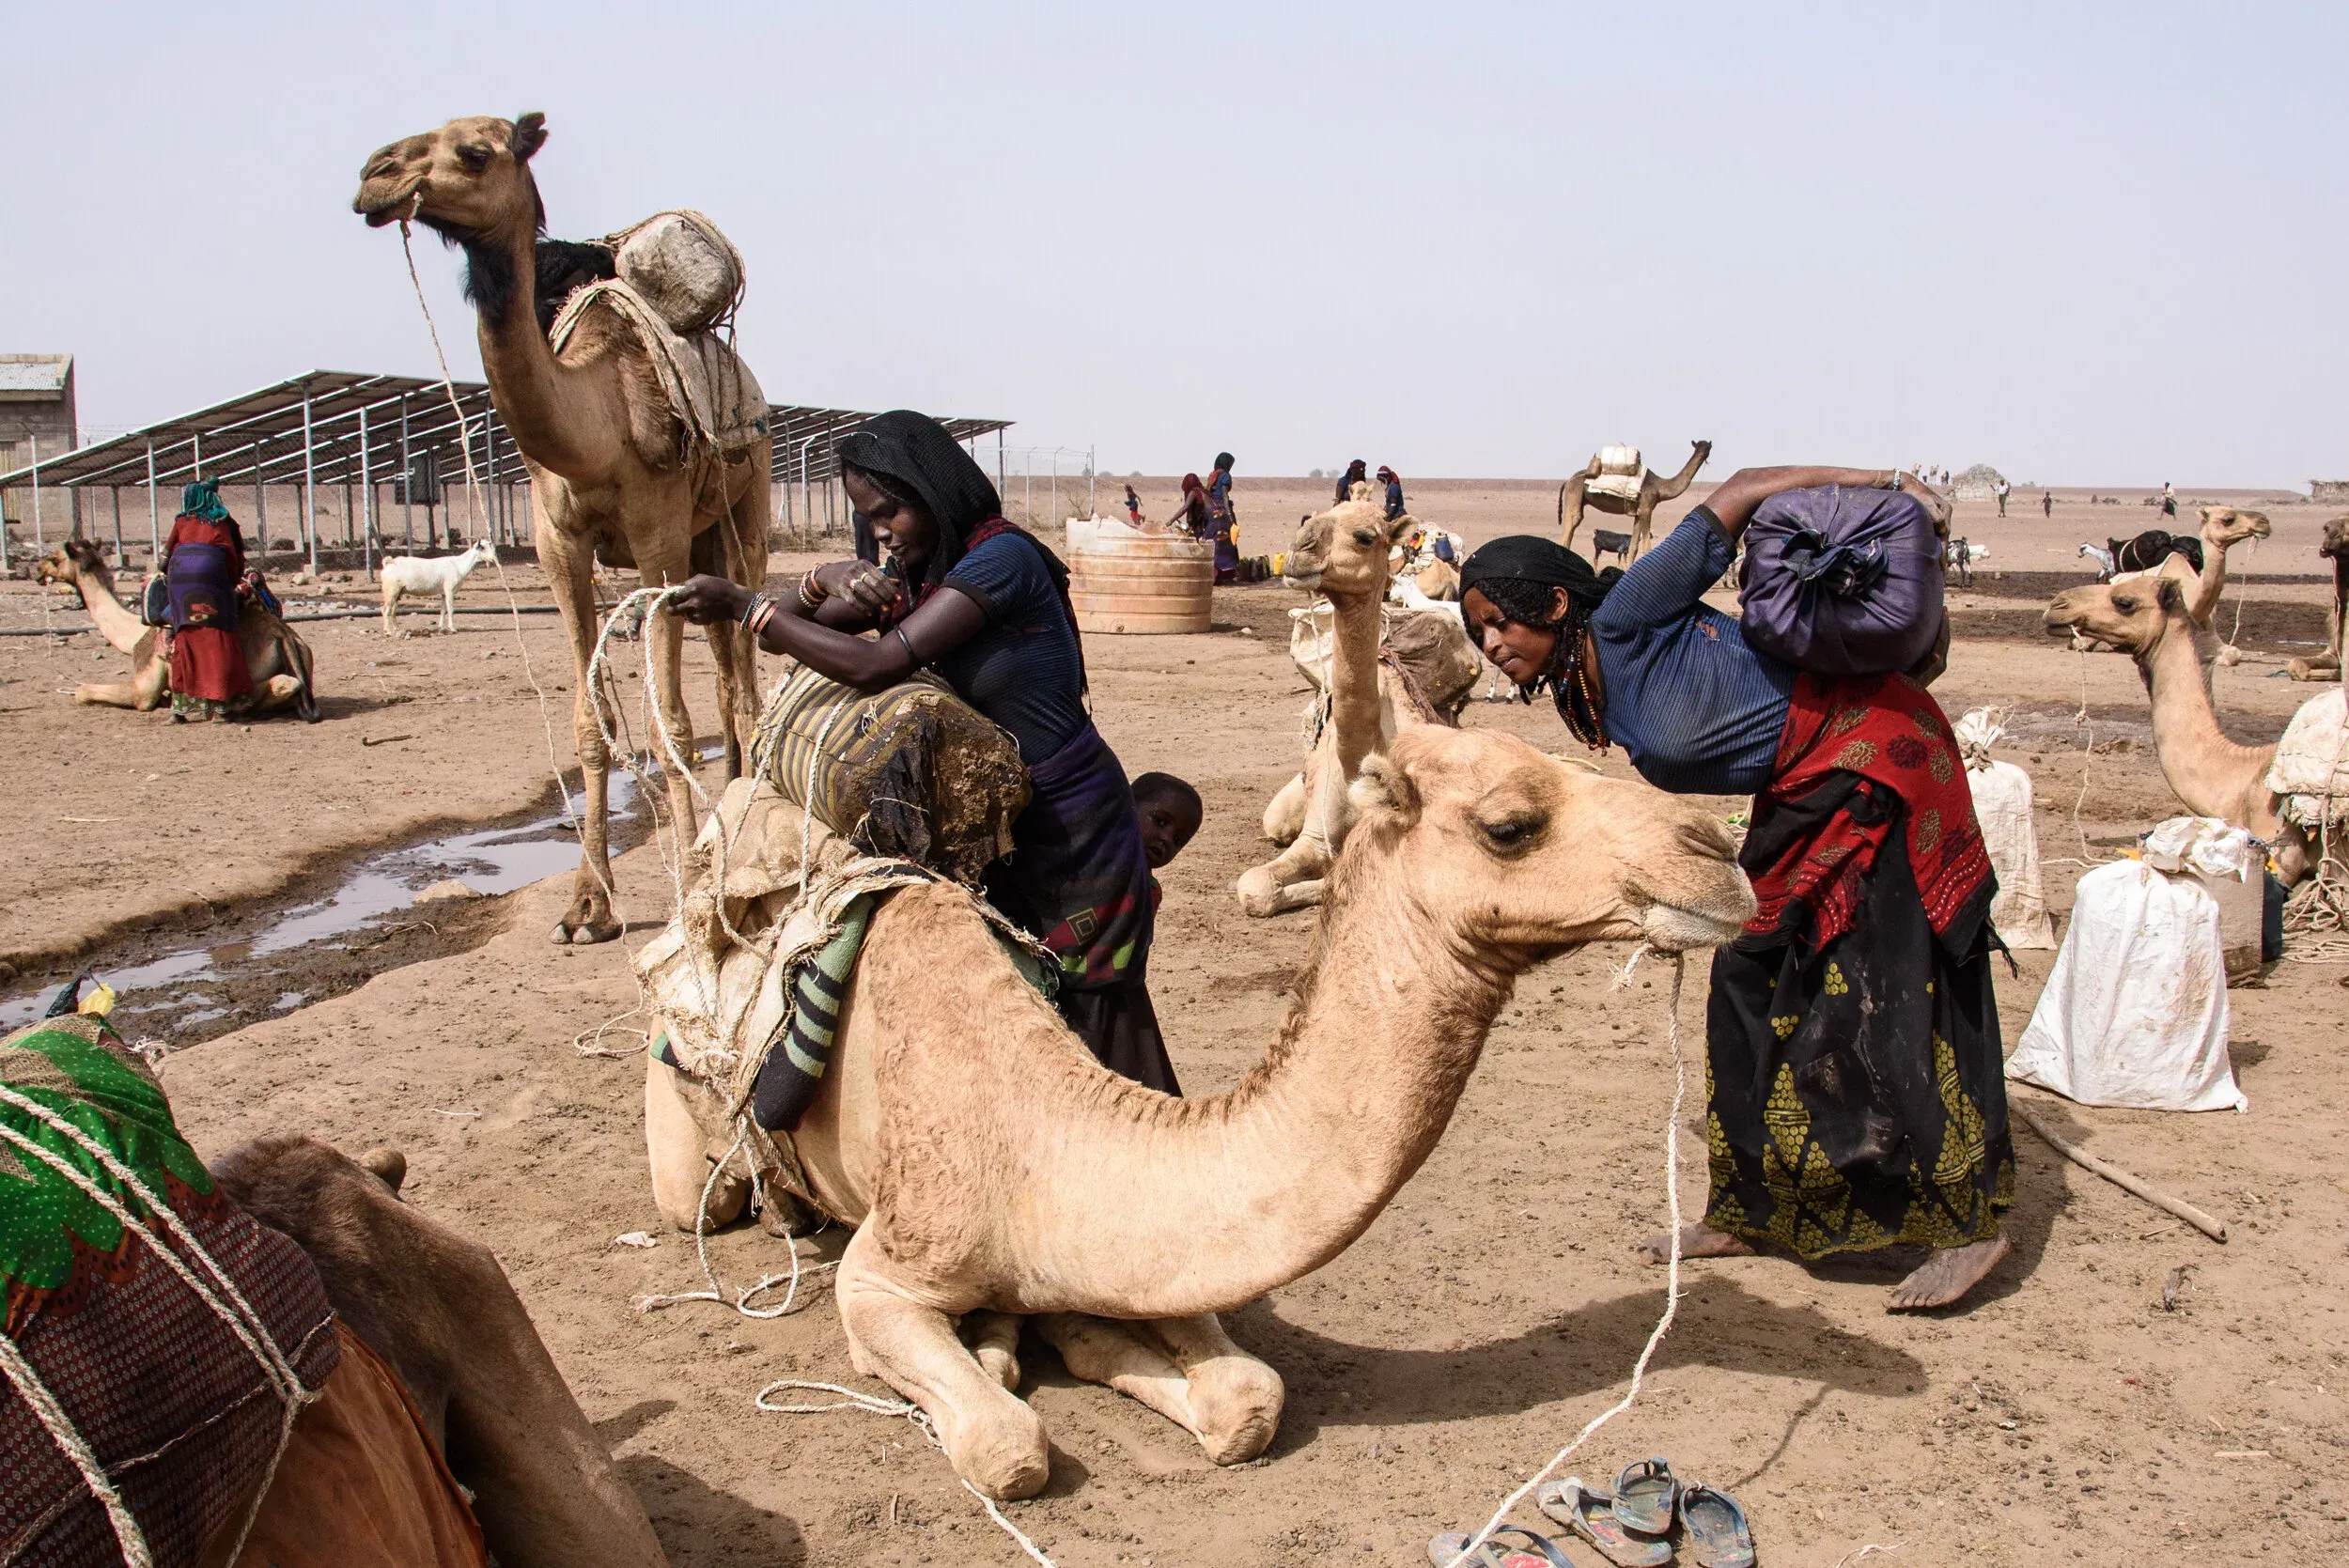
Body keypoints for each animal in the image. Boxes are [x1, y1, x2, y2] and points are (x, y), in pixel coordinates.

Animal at [34, 539, 320, 721]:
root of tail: (284, 636)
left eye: (53, 558)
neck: (134, 635)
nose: (36, 570)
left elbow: (83, 691)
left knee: (274, 685)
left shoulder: (144, 685)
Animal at [355, 114, 769, 945]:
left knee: (742, 682)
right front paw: (588, 905)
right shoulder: (558, 545)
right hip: (707, 538)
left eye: (474, 152)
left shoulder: (658, 539)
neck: (596, 420)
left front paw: (689, 889)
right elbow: (591, 719)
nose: (375, 176)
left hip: (749, 511)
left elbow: (669, 722)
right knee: (725, 677)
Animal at [643, 724, 1756, 1499]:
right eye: (1511, 824)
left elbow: (1246, 1396)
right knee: (703, 1193)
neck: (1040, 1144)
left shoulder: (1134, 1251)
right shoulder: (886, 1268)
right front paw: (994, 1368)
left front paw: (1074, 1346)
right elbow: (1008, 1446)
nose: (1719, 852)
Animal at [1559, 440, 1712, 561]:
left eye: (1707, 446)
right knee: (1570, 524)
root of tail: (1567, 481)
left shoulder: (1638, 513)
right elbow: (1646, 547)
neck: (1659, 487)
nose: (1705, 453)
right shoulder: (1646, 509)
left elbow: (1633, 548)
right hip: (1574, 494)